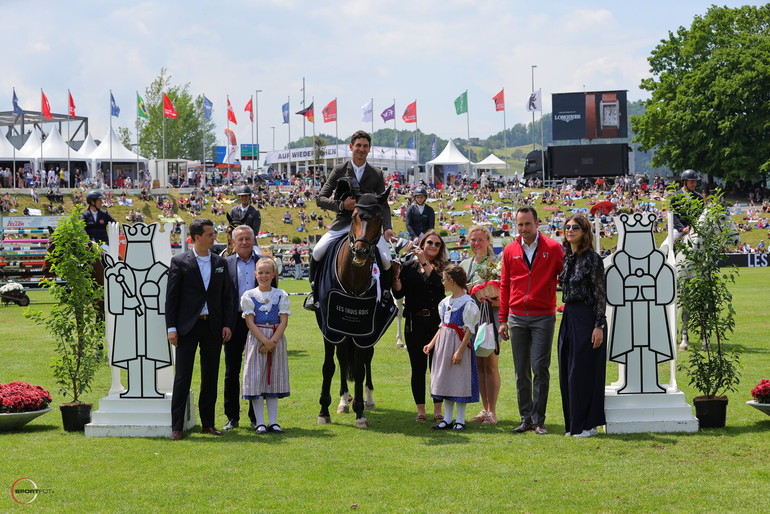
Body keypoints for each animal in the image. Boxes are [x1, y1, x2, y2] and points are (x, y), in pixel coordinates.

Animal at [316, 188, 392, 424]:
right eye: (356, 215)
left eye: (379, 217)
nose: (360, 251)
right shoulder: (329, 327)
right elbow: (329, 366)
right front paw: (324, 411)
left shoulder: (364, 330)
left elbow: (359, 369)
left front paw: (360, 411)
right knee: (341, 359)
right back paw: (342, 401)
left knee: (366, 359)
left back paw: (368, 400)